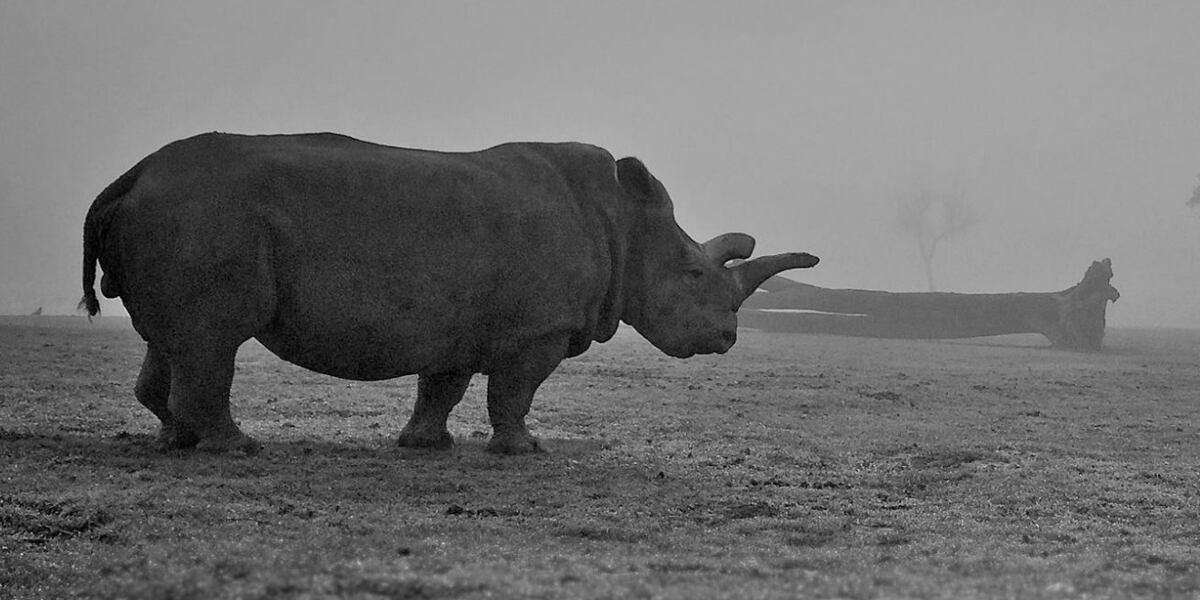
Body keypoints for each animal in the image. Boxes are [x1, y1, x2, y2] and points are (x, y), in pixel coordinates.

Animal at [81, 133, 818, 454]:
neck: (626, 222)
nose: (726, 338)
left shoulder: (459, 320)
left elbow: (443, 386)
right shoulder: (536, 329)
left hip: (182, 216)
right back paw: (236, 449)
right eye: (693, 275)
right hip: (204, 216)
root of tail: (132, 175)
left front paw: (422, 446)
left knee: (175, 339)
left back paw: (176, 441)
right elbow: (514, 391)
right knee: (213, 339)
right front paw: (524, 452)